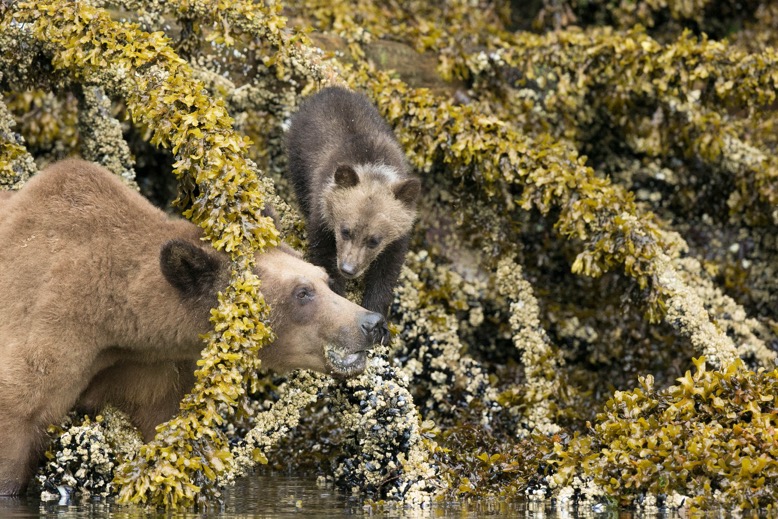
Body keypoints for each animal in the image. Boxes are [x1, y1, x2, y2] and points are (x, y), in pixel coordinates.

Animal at [0, 159, 384, 496]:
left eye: (325, 280)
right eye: (302, 292)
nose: (371, 323)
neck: (118, 322)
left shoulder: (148, 371)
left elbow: (158, 424)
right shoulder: (53, 325)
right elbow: (18, 421)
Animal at [284, 86, 418, 316]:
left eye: (374, 240)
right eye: (345, 230)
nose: (348, 268)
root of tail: (331, 89)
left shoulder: (397, 240)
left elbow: (386, 274)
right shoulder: (322, 216)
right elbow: (324, 257)